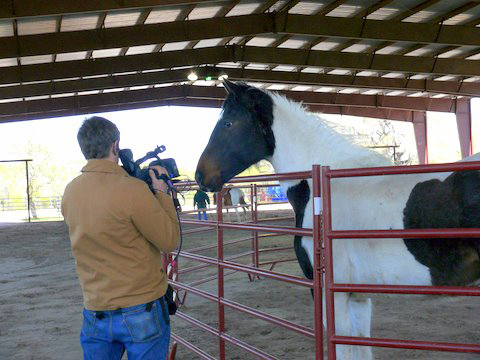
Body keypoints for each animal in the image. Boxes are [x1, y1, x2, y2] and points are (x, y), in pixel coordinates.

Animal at [195, 80, 480, 358]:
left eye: (228, 123)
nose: (200, 176)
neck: (320, 187)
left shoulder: (331, 296)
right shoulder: (357, 296)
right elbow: (361, 349)